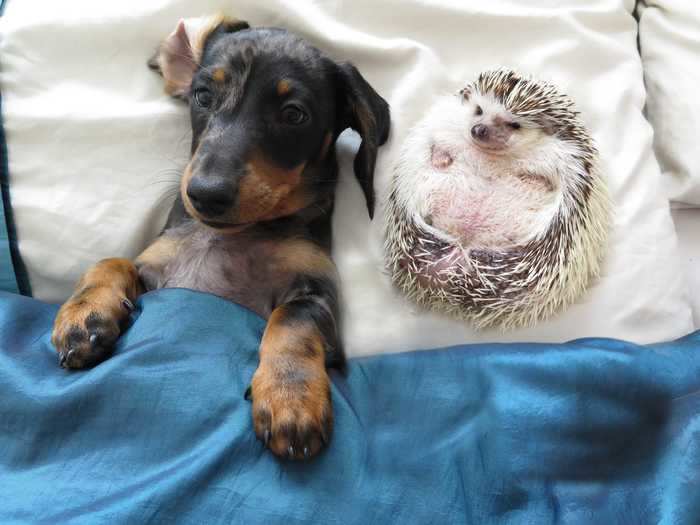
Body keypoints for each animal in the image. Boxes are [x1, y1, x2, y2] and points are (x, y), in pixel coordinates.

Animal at [50, 15, 388, 458]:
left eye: (294, 115)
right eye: (203, 95)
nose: (206, 194)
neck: (240, 234)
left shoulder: (317, 292)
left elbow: (293, 319)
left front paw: (290, 396)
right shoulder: (157, 263)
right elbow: (112, 261)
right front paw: (84, 314)